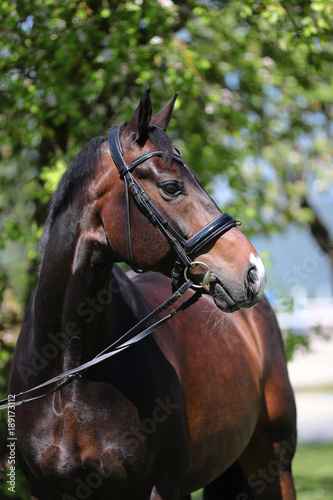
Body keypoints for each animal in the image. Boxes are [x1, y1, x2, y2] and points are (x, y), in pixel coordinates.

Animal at [7, 91, 294, 500]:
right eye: (172, 187)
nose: (253, 272)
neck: (69, 372)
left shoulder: (158, 486)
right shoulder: (43, 489)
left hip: (274, 463)